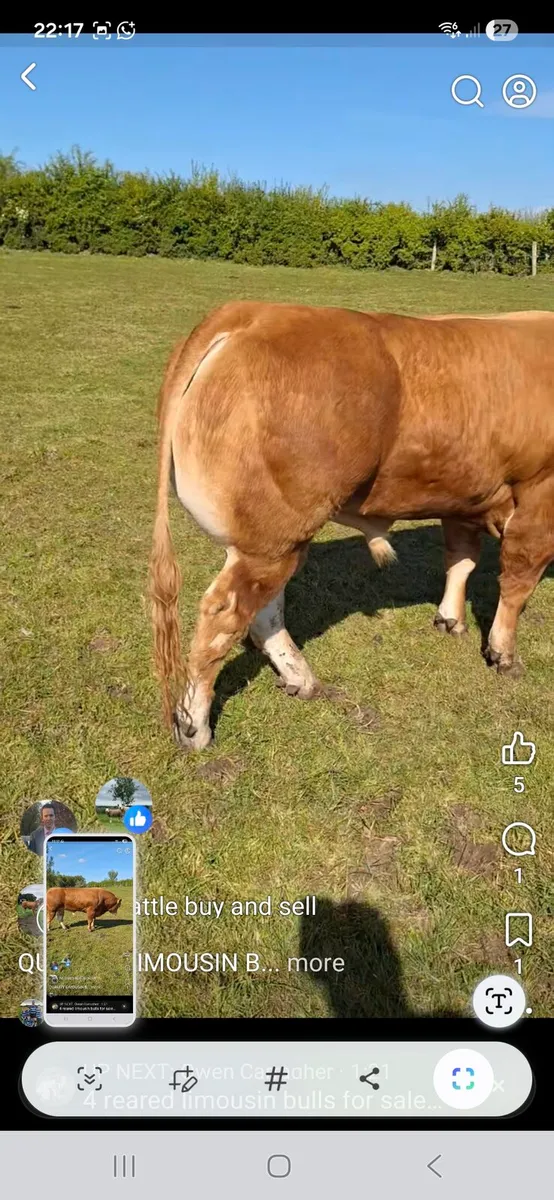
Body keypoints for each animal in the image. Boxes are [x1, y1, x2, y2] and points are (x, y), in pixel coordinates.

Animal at [149, 301, 554, 751]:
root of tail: (255, 311)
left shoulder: (463, 494)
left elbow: (461, 560)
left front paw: (450, 619)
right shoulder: (540, 493)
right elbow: (518, 580)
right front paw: (504, 654)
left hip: (269, 541)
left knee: (263, 610)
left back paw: (300, 679)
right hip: (274, 536)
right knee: (227, 615)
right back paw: (194, 727)